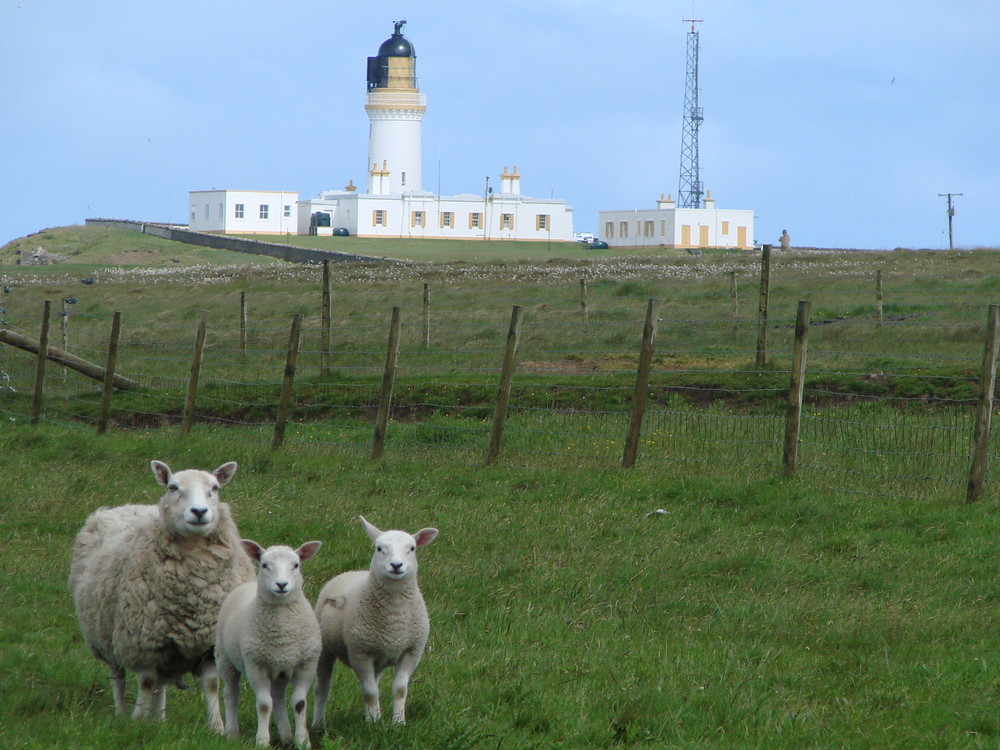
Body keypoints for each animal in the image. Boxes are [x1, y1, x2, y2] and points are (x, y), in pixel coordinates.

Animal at [70, 462, 254, 732]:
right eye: (173, 487)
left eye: (215, 488)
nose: (199, 512)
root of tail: (126, 506)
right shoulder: (144, 640)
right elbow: (145, 682)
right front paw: (136, 719)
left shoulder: (209, 644)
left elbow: (211, 685)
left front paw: (217, 728)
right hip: (106, 635)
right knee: (119, 676)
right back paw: (123, 713)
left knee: (160, 685)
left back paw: (159, 719)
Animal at [216, 544, 322, 748]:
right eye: (264, 565)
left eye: (296, 565)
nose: (281, 585)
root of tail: (246, 584)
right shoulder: (256, 666)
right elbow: (264, 705)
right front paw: (262, 741)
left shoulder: (306, 666)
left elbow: (299, 703)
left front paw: (302, 741)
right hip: (225, 658)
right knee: (231, 693)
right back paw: (232, 733)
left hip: (279, 669)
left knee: (278, 697)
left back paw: (286, 736)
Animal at [312, 516, 438, 728]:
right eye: (379, 548)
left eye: (412, 548)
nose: (396, 565)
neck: (394, 616)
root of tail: (350, 572)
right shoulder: (360, 653)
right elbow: (370, 693)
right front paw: (374, 724)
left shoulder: (411, 651)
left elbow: (399, 690)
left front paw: (397, 722)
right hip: (326, 649)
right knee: (323, 686)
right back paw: (318, 723)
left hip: (377, 656)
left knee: (373, 682)